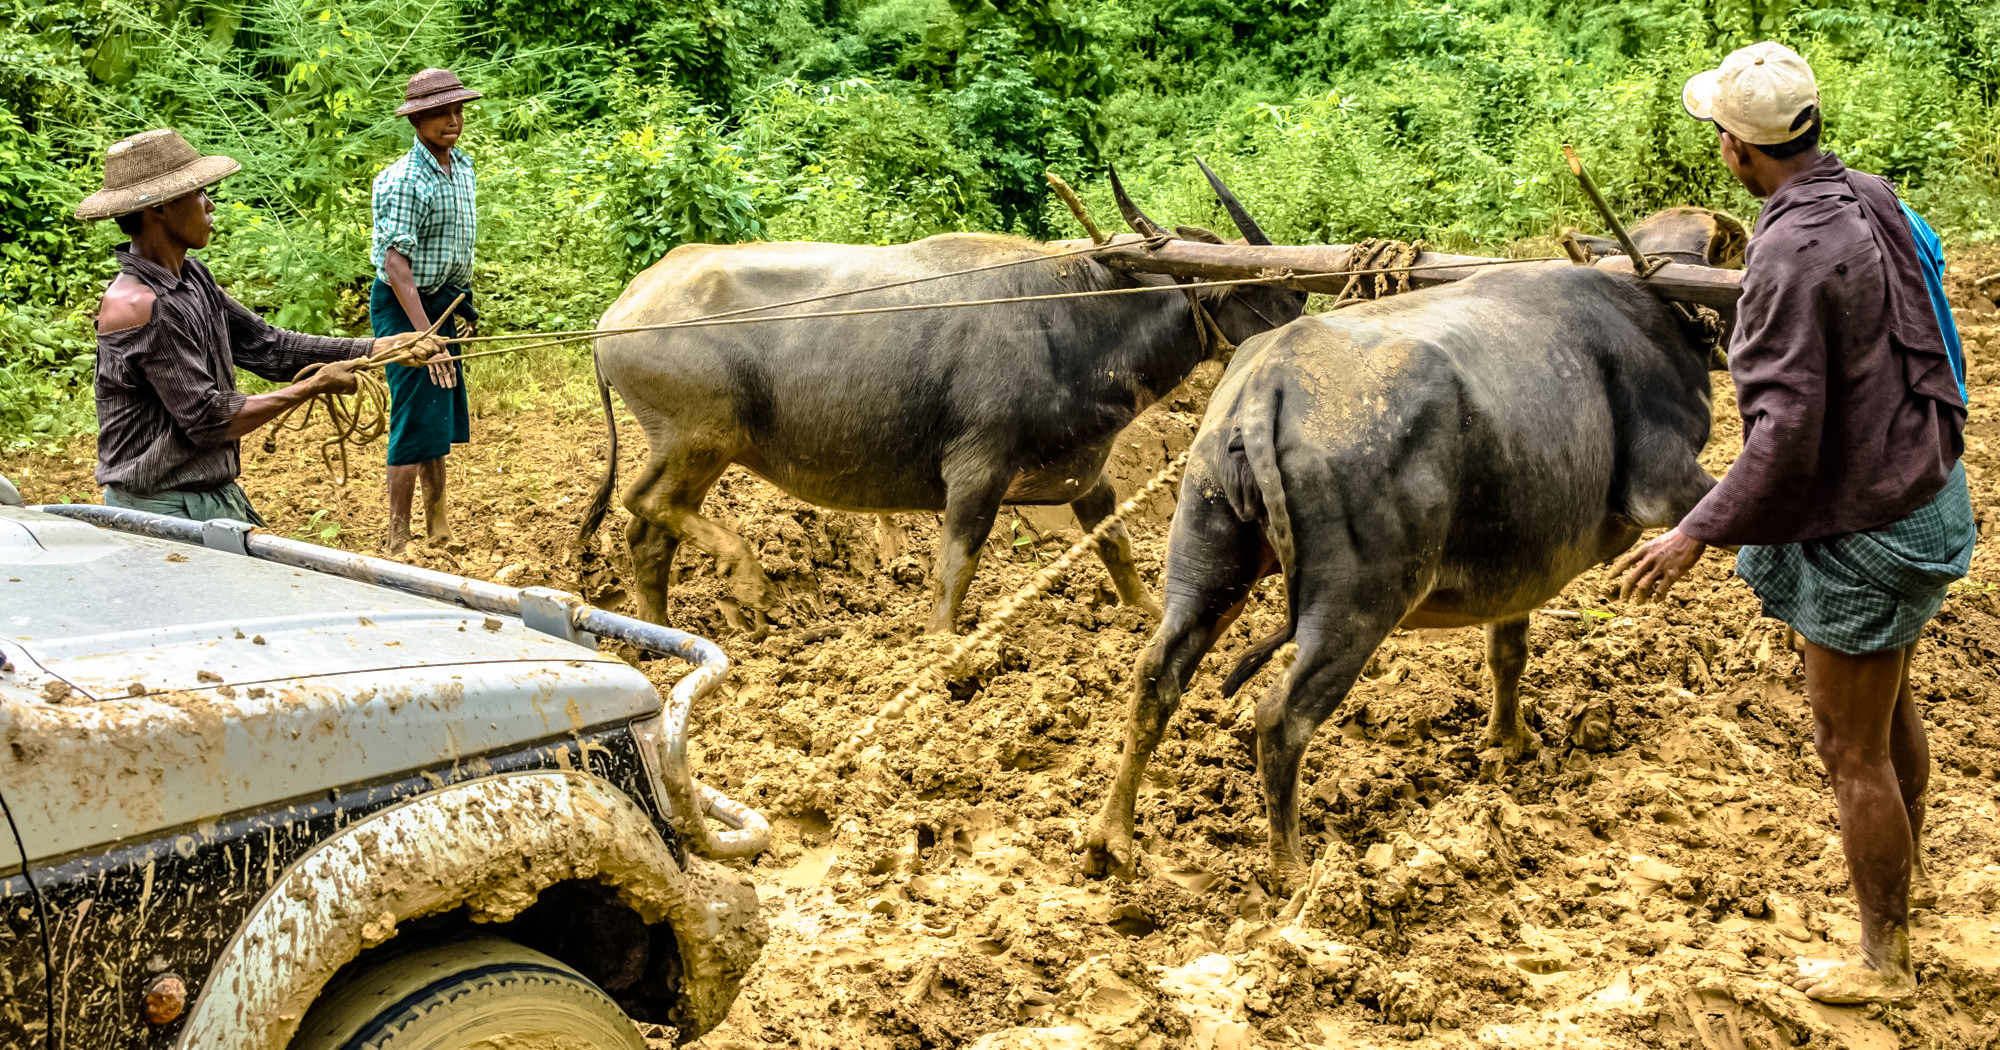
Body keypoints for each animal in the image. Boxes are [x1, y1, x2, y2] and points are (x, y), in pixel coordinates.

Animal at [580, 166, 1304, 632]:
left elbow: (1115, 545)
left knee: (649, 537)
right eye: (1260, 292)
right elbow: (957, 568)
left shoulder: (1086, 474)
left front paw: (1148, 617)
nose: (1304, 334)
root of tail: (618, 312)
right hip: (699, 440)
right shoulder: (977, 473)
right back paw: (751, 581)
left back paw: (663, 639)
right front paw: (943, 652)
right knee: (644, 503)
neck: (1071, 320)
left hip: (696, 452)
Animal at [1080, 211, 1736, 884]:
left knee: (1155, 677)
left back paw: (1112, 841)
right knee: (1280, 717)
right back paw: (1292, 872)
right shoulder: (1667, 482)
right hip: (1354, 605)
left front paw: (1509, 743)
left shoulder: (1518, 567)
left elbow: (1507, 652)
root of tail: (1265, 388)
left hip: (1206, 562)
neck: (1654, 313)